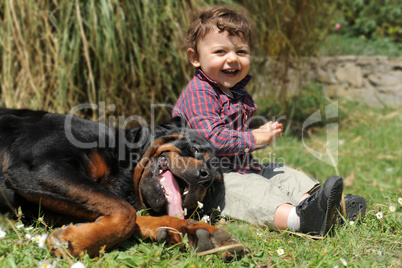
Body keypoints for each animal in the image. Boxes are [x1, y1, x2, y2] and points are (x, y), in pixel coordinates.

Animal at [0, 108, 242, 260]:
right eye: (196, 150)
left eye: (211, 188)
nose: (205, 177)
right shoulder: (41, 169)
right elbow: (127, 213)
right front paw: (74, 241)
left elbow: (135, 216)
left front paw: (201, 233)